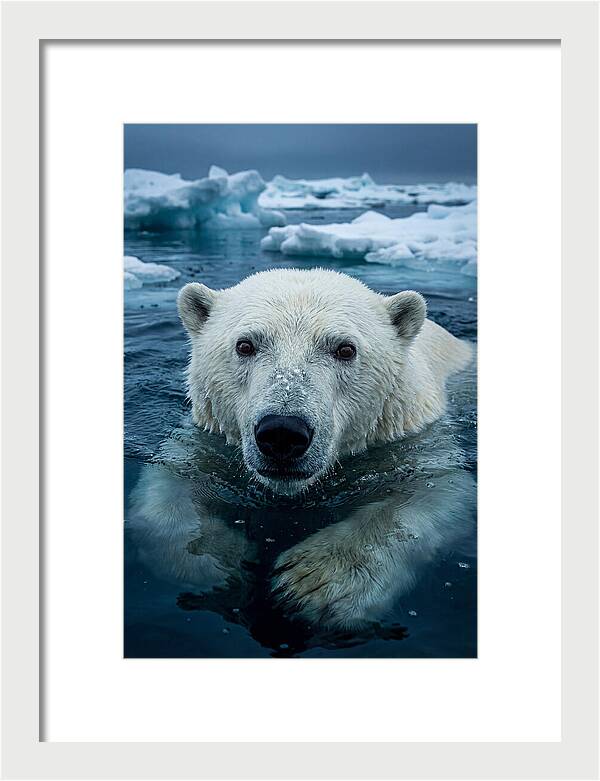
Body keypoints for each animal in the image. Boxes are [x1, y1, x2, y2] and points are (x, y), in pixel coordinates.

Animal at [127, 269, 475, 642]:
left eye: (345, 348)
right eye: (245, 345)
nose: (282, 432)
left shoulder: (414, 439)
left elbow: (435, 491)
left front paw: (313, 583)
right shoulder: (207, 440)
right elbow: (168, 487)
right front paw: (219, 562)